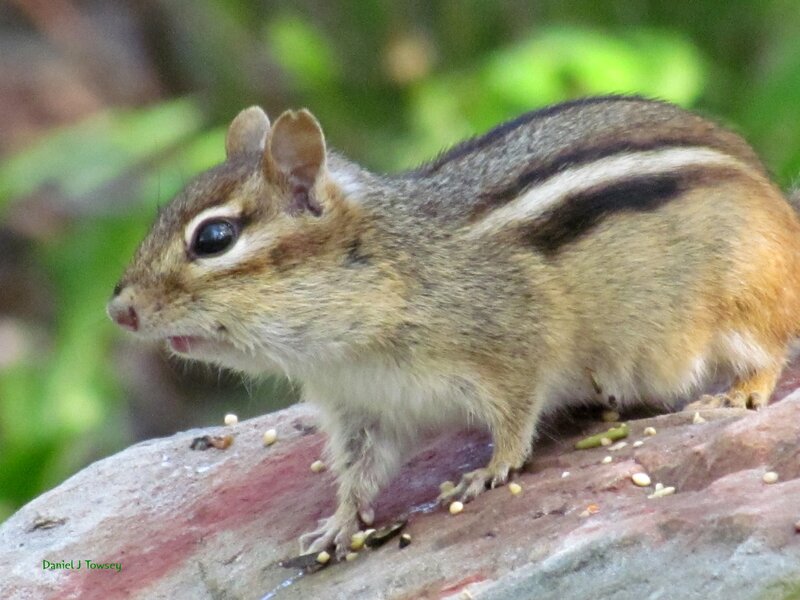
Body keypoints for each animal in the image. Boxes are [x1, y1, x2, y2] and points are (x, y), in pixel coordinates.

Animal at [107, 95, 800, 558]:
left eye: (214, 239)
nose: (119, 310)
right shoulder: (365, 411)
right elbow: (359, 472)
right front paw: (338, 523)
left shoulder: (515, 345)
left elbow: (516, 416)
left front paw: (490, 469)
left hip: (739, 297)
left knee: (768, 349)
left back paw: (737, 393)